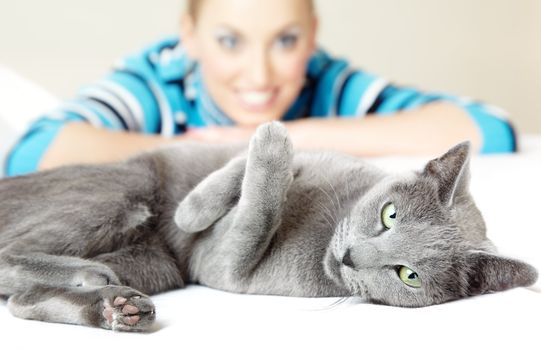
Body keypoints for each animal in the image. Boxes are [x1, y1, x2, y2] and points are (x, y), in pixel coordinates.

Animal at [0, 122, 536, 330]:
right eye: (389, 215)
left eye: (409, 275)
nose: (350, 257)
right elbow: (258, 160)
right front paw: (193, 208)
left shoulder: (227, 266)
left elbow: (257, 212)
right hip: (119, 192)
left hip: (154, 262)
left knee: (19, 295)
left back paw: (111, 300)